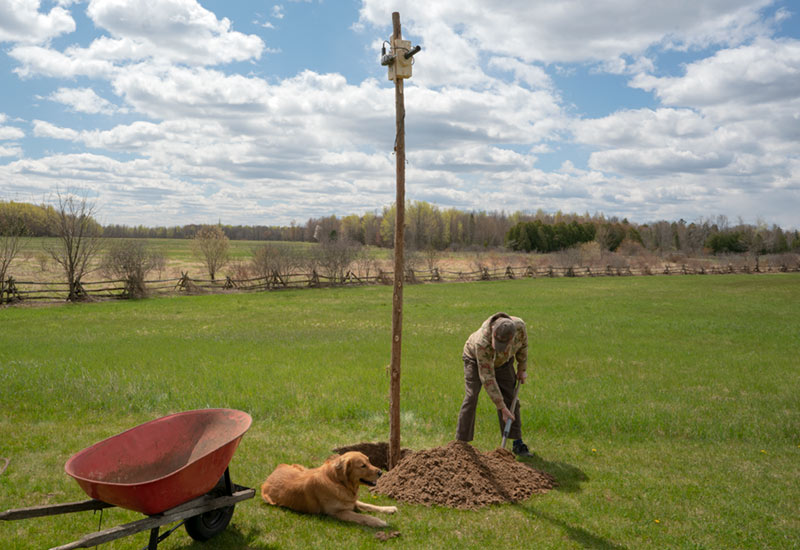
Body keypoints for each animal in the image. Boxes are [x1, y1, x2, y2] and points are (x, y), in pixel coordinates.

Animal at [260, 452, 398, 532]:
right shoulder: (338, 512)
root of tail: (269, 477)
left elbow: (369, 505)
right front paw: (379, 522)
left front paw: (389, 508)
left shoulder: (351, 501)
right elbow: (362, 516)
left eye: (369, 461)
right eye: (362, 465)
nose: (380, 472)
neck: (338, 482)